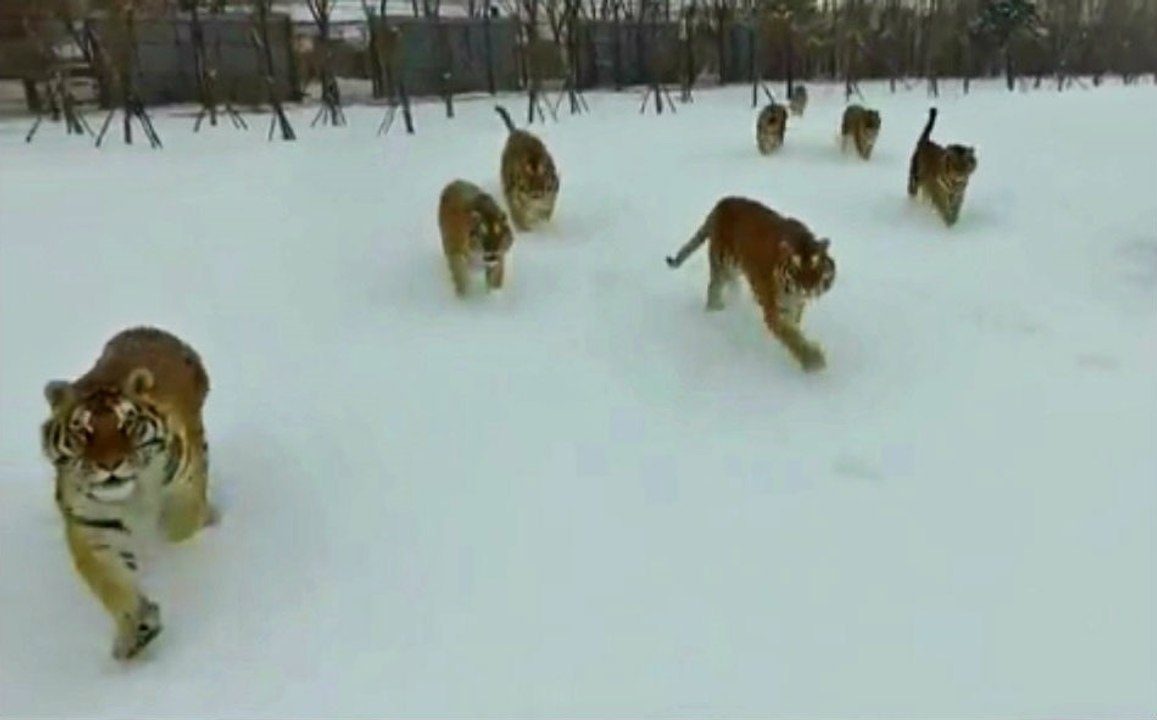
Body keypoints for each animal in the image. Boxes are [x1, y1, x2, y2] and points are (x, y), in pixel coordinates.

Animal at [40, 325, 215, 662]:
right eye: (83, 430)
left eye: (126, 424)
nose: (110, 464)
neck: (131, 497)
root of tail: (144, 328)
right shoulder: (93, 531)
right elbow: (113, 585)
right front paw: (137, 629)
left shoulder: (182, 495)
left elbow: (181, 533)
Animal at [665, 196, 836, 372]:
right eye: (796, 268)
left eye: (816, 264)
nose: (807, 288)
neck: (793, 294)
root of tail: (723, 202)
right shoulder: (775, 310)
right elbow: (792, 336)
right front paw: (813, 360)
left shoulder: (795, 306)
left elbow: (795, 327)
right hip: (722, 263)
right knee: (713, 288)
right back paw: (715, 311)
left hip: (733, 268)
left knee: (731, 284)